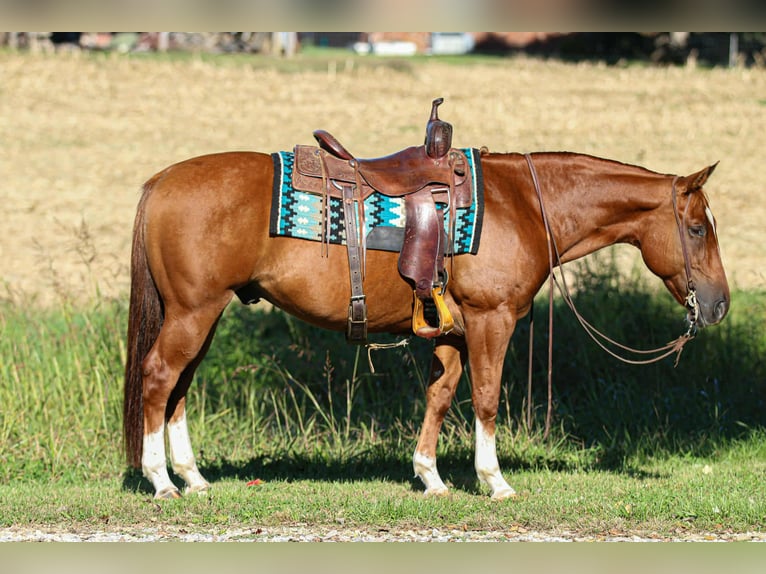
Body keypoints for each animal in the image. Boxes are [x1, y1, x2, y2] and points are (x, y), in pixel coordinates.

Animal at [123, 149, 729, 500]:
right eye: (697, 228)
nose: (719, 305)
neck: (522, 204)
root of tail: (160, 180)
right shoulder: (491, 321)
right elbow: (486, 398)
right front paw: (494, 481)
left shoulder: (455, 333)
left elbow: (440, 396)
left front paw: (431, 477)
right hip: (194, 312)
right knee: (159, 378)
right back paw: (161, 481)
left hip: (202, 314)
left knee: (180, 386)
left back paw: (193, 478)